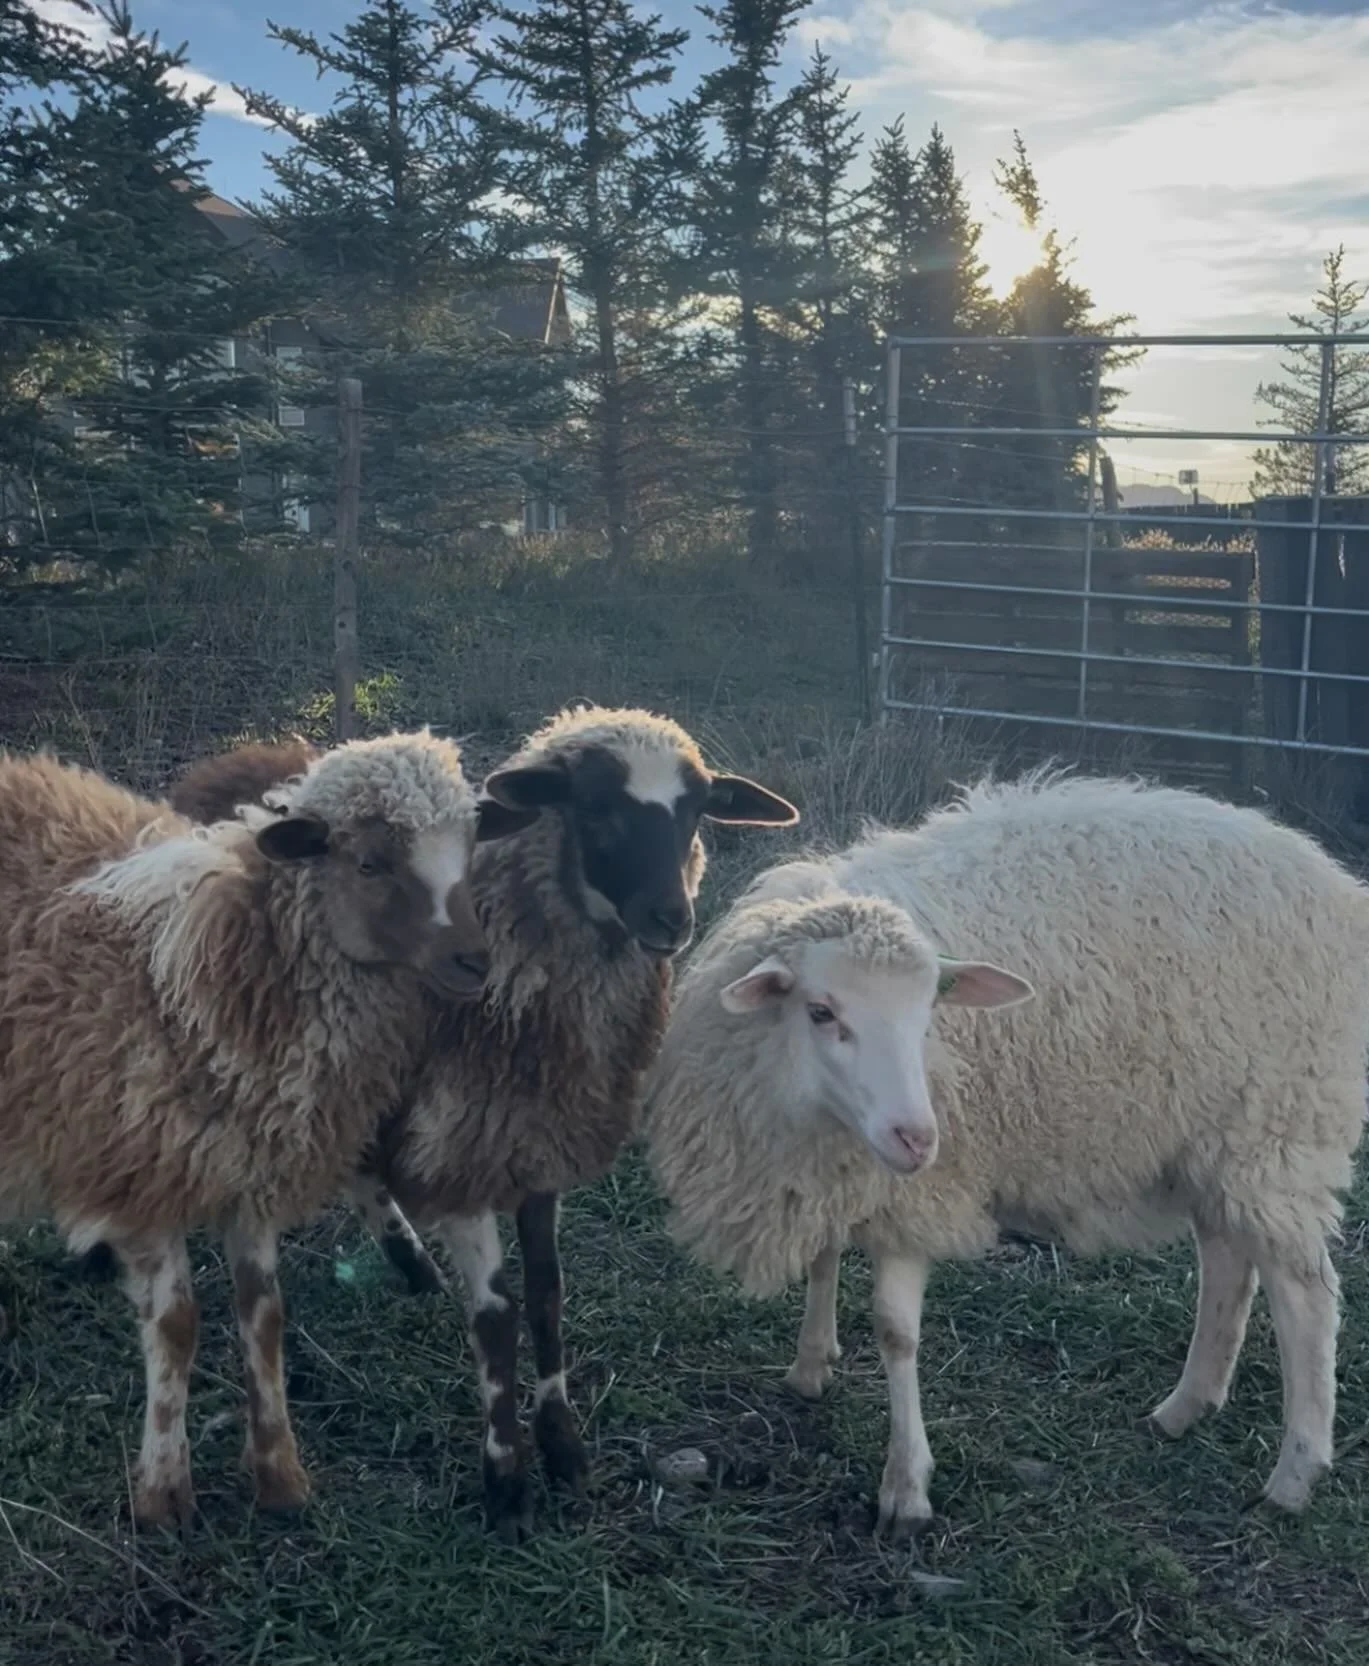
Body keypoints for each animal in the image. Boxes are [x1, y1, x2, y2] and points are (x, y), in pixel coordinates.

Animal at [0, 733, 530, 1527]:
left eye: (469, 851)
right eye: (368, 862)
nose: (474, 962)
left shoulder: (250, 1166)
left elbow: (263, 1315)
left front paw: (280, 1478)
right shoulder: (148, 1168)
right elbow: (177, 1325)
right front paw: (163, 1493)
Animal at [643, 768, 1369, 1532]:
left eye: (929, 1014)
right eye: (820, 1011)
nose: (917, 1137)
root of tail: (1337, 888)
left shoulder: (918, 1189)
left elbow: (896, 1331)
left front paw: (906, 1487)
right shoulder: (828, 1163)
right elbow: (824, 1255)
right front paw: (811, 1366)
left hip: (1280, 1124)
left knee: (1306, 1297)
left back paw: (1294, 1472)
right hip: (1210, 1135)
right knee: (1229, 1263)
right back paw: (1184, 1408)